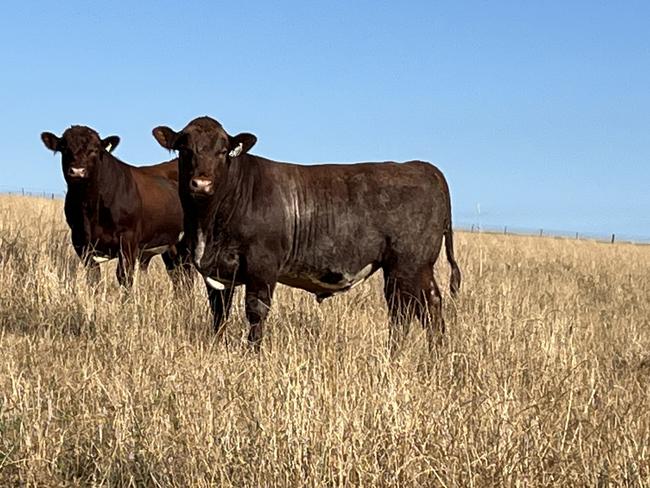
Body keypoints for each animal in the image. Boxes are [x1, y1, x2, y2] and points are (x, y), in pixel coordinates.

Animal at [41, 125, 190, 290]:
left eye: (94, 150)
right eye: (64, 148)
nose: (77, 171)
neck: (90, 208)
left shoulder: (128, 239)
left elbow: (124, 276)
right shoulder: (80, 240)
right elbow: (93, 277)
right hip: (171, 245)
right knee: (178, 275)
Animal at [151, 115, 458, 350]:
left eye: (223, 150)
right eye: (185, 149)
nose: (201, 183)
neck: (209, 223)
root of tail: (421, 166)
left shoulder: (263, 266)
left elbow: (255, 311)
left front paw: (252, 352)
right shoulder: (216, 273)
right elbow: (218, 313)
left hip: (407, 265)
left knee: (407, 310)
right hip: (415, 268)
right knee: (429, 304)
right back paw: (436, 353)